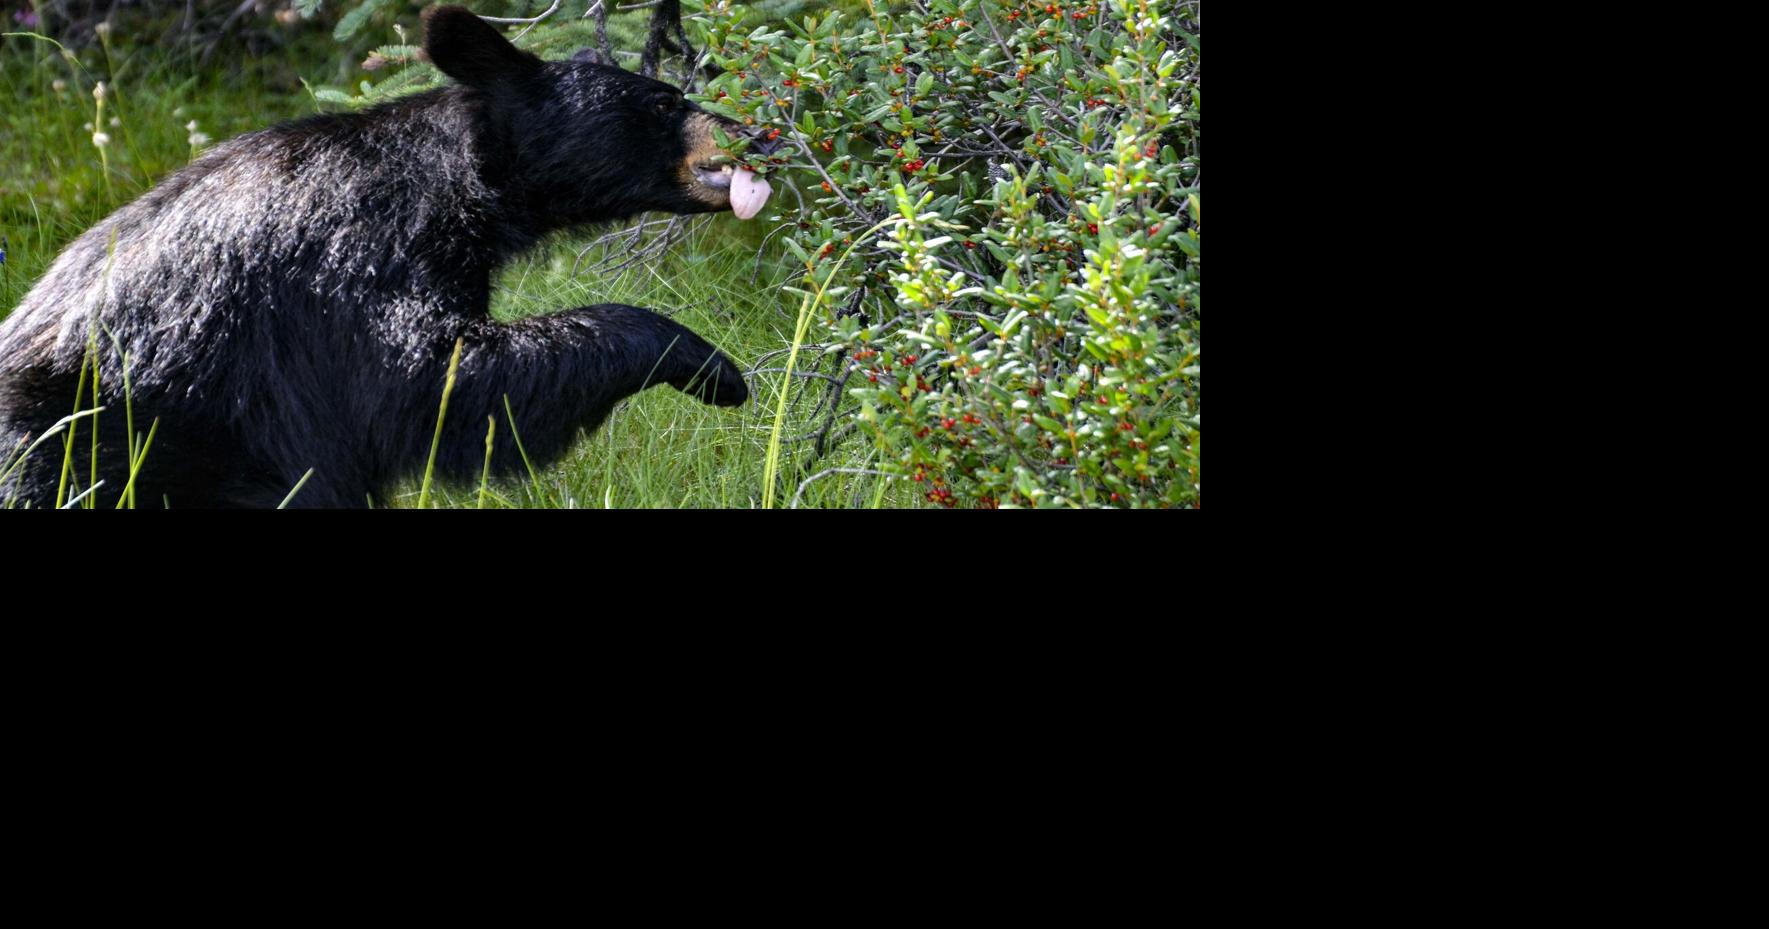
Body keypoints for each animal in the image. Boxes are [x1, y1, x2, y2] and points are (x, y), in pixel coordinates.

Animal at [0, 5, 774, 508]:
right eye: (665, 101)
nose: (760, 135)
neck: (457, 183)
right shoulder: (358, 253)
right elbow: (427, 378)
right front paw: (706, 363)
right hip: (89, 441)